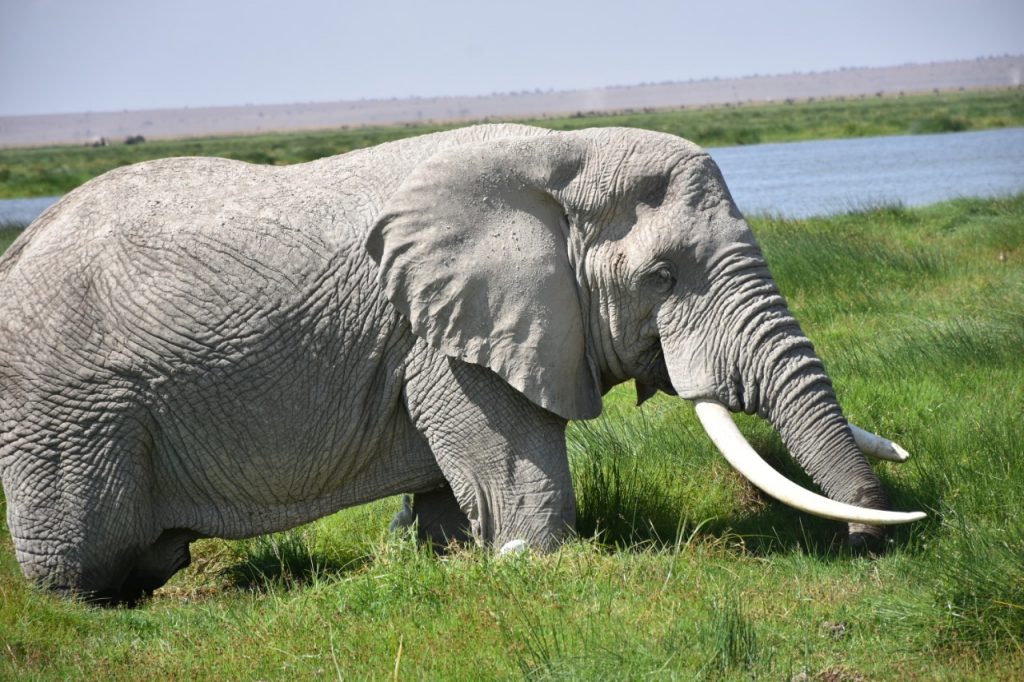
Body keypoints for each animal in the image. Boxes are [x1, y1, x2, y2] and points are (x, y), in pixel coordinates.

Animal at [0, 122, 921, 602]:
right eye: (663, 277)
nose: (865, 545)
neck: (563, 153)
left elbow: (453, 491)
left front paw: (443, 556)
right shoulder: (447, 340)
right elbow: (520, 475)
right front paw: (523, 561)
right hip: (67, 408)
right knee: (80, 564)